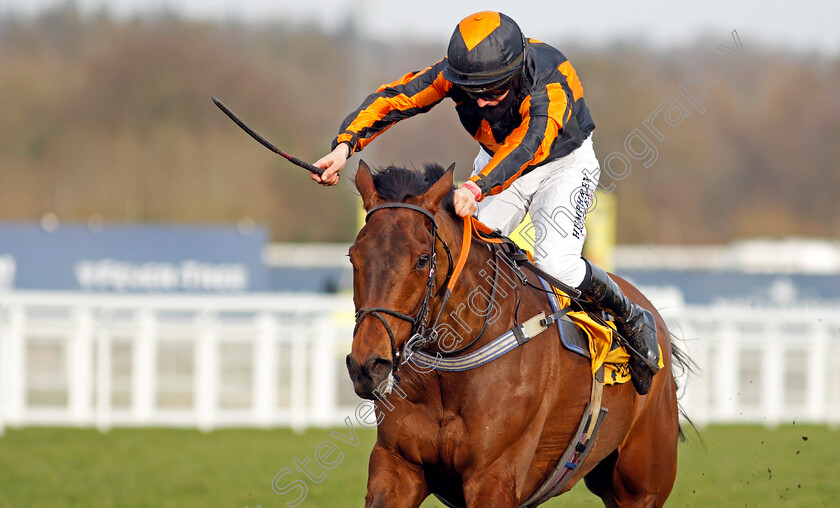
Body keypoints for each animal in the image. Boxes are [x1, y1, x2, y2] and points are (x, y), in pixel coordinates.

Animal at [348, 161, 688, 506]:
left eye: (422, 260)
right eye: (353, 256)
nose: (367, 366)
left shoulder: (494, 475)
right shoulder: (397, 464)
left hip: (641, 485)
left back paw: (640, 332)